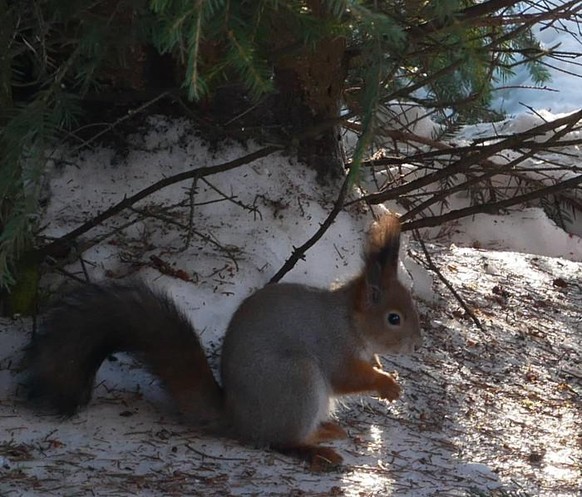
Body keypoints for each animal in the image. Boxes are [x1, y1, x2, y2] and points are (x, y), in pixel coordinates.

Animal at [27, 212, 422, 464]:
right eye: (394, 318)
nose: (415, 343)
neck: (350, 322)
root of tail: (237, 417)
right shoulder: (331, 344)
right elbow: (347, 376)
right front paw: (387, 384)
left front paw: (387, 373)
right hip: (297, 380)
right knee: (279, 441)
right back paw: (315, 448)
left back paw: (325, 432)